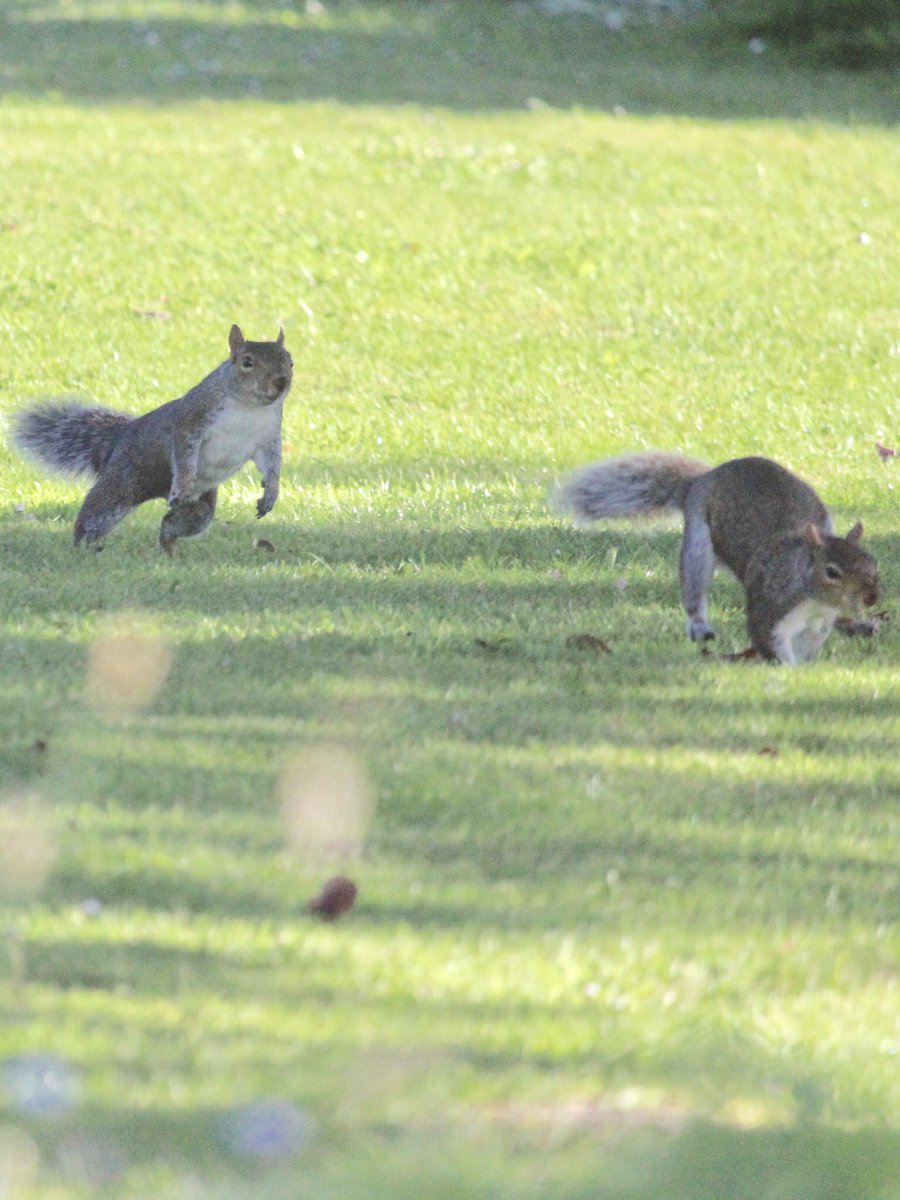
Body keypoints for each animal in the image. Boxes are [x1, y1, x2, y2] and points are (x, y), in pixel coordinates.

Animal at [12, 324, 293, 554]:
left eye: (290, 362)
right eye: (247, 362)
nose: (281, 382)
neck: (249, 407)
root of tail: (121, 436)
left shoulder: (267, 437)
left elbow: (271, 464)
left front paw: (271, 493)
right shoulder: (192, 421)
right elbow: (184, 454)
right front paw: (184, 482)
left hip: (197, 509)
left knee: (173, 524)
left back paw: (168, 549)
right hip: (122, 483)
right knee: (94, 516)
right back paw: (82, 548)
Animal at [557, 452, 880, 664]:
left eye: (873, 564)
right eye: (832, 572)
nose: (871, 598)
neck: (813, 600)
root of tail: (706, 477)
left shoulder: (818, 624)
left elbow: (810, 647)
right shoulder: (768, 611)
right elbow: (771, 644)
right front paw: (789, 670)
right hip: (697, 542)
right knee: (694, 590)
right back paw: (699, 626)